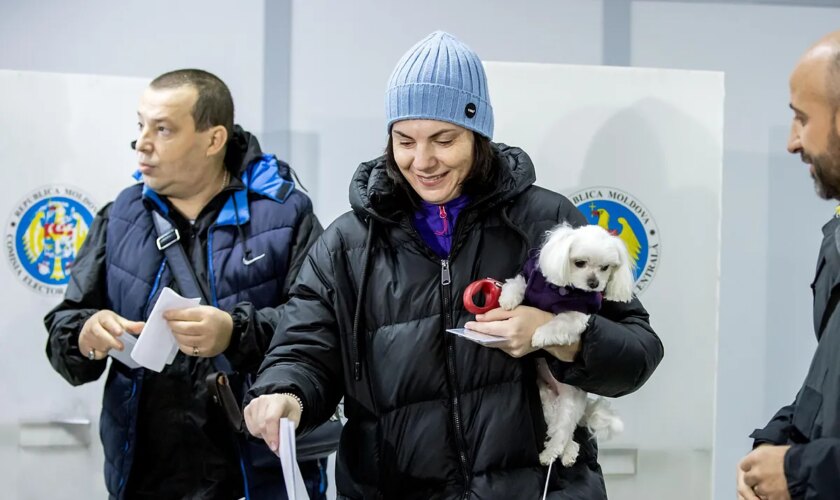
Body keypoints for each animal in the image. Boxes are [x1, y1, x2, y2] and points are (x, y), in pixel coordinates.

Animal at [502, 225, 632, 466]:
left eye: (605, 268)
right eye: (579, 263)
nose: (594, 284)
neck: (562, 289)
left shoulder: (577, 316)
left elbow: (559, 323)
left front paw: (540, 335)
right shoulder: (530, 278)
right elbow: (517, 283)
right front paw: (507, 299)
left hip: (569, 404)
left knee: (563, 433)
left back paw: (551, 455)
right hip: (546, 401)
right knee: (563, 433)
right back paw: (569, 452)